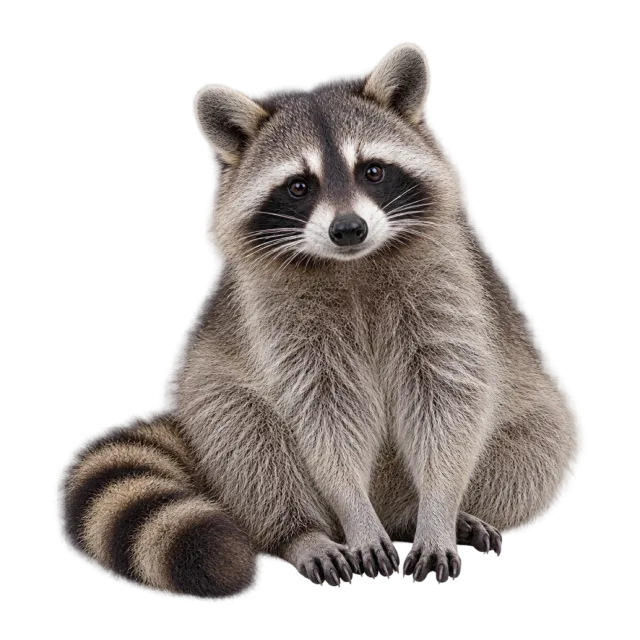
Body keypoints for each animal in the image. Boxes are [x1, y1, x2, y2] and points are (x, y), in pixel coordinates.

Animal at [59, 43, 585, 599]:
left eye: (372, 171)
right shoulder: (278, 315)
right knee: (243, 430)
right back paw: (305, 530)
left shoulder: (445, 290)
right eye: (298, 187)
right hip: (217, 408)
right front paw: (352, 512)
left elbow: (448, 400)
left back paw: (440, 514)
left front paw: (440, 508)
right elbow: (320, 416)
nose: (348, 229)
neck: (352, 264)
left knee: (541, 439)